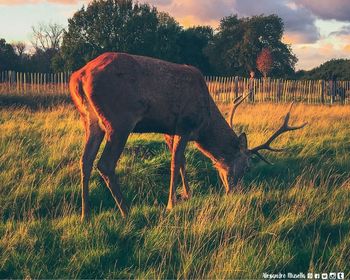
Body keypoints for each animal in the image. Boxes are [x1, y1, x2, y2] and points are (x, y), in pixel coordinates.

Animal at [69, 51, 306, 220]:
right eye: (248, 167)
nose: (237, 192)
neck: (204, 123)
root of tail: (78, 76)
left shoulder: (169, 130)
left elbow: (182, 161)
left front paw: (187, 194)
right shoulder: (184, 124)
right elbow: (175, 163)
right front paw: (171, 204)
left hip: (90, 121)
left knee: (85, 160)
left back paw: (85, 214)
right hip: (119, 120)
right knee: (105, 164)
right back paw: (126, 211)